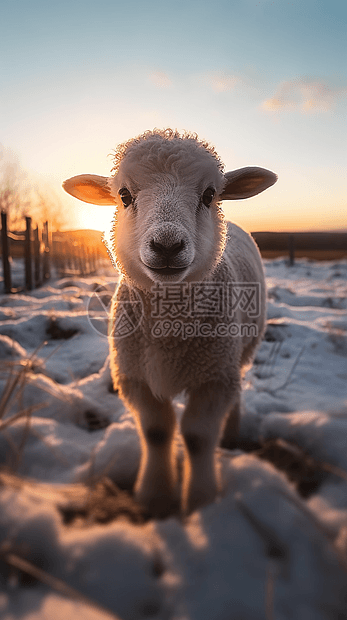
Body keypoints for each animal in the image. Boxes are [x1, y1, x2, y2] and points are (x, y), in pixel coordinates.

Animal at [64, 130, 278, 520]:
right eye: (124, 196)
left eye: (209, 195)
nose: (166, 246)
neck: (169, 330)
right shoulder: (134, 376)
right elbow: (157, 432)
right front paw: (155, 497)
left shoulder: (213, 378)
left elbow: (197, 437)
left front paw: (202, 499)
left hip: (239, 352)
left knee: (237, 388)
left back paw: (232, 432)